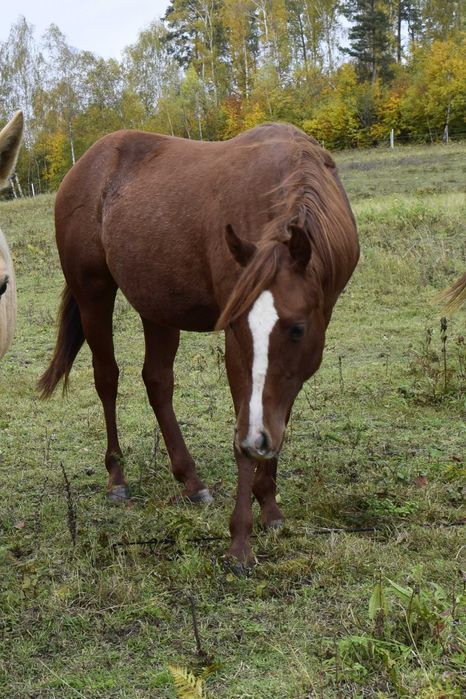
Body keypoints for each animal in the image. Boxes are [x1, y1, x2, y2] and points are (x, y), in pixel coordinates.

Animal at [39, 123, 359, 567]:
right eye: (239, 325)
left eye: (296, 329)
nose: (258, 441)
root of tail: (84, 165)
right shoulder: (237, 344)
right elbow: (245, 424)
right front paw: (240, 541)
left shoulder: (302, 352)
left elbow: (278, 411)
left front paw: (270, 505)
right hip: (94, 295)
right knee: (107, 380)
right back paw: (117, 477)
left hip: (156, 307)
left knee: (157, 381)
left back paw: (190, 480)